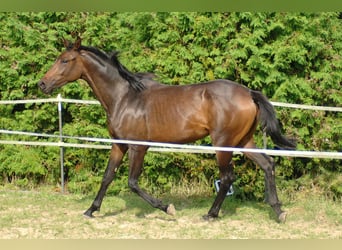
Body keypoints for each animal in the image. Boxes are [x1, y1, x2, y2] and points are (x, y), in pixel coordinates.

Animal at [36, 36, 294, 222]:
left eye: (65, 60)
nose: (42, 83)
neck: (124, 97)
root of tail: (249, 93)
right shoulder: (119, 144)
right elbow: (108, 176)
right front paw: (91, 210)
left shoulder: (138, 147)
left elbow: (132, 183)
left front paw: (167, 208)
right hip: (243, 141)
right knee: (268, 164)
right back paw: (278, 211)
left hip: (223, 143)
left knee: (227, 177)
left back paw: (211, 214)